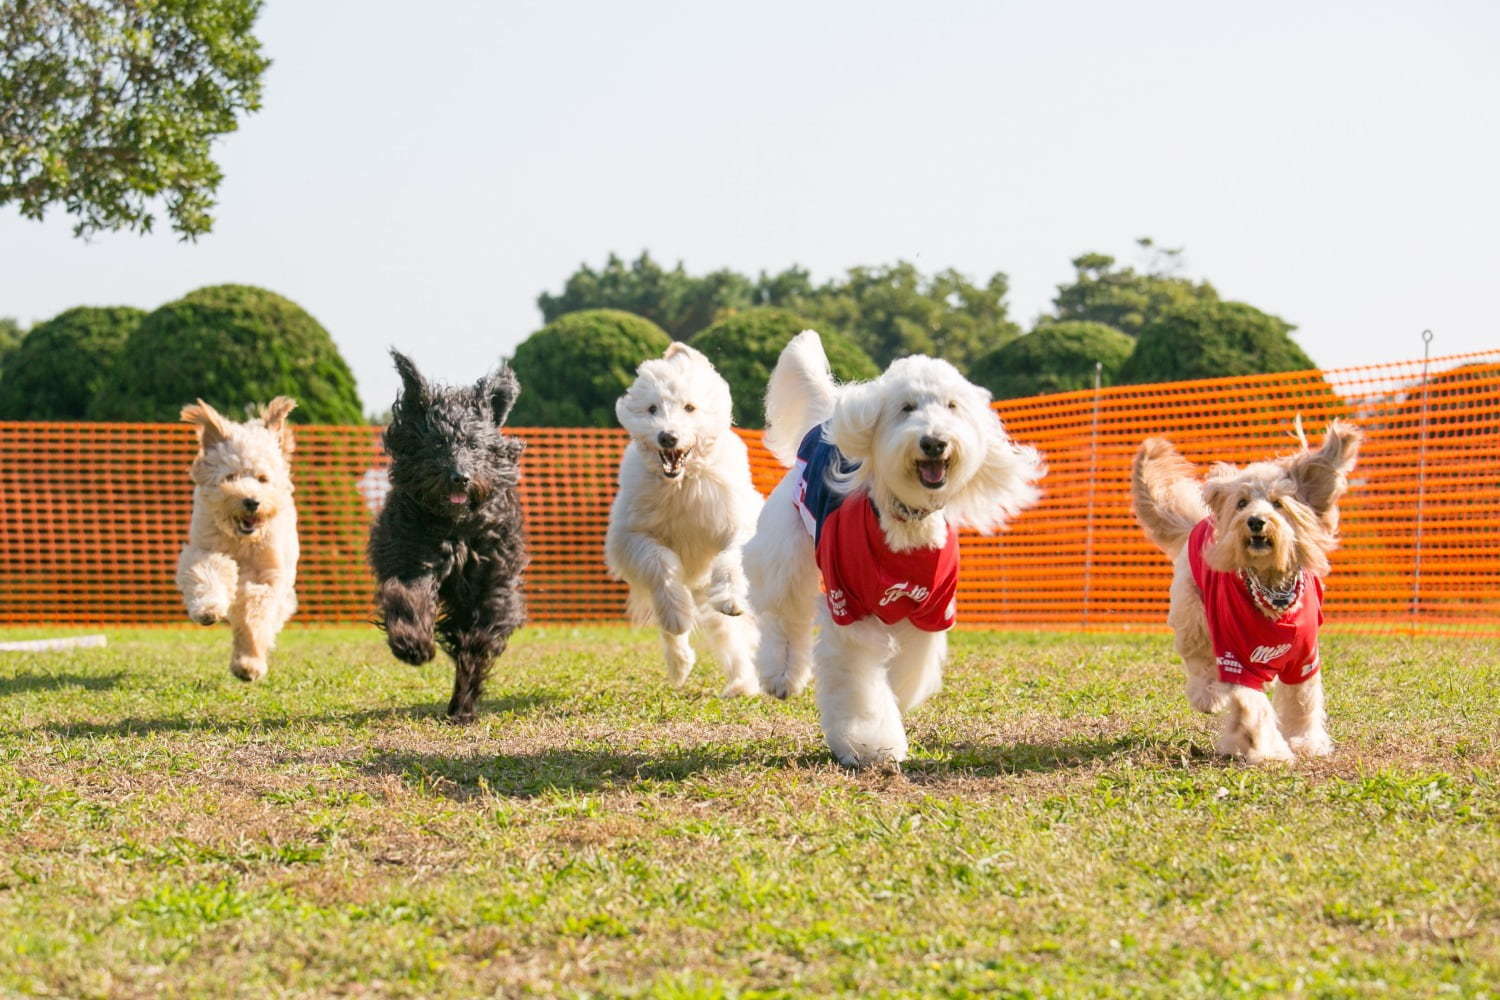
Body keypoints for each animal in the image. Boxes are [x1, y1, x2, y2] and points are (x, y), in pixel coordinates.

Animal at [177, 395, 300, 680]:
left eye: (263, 479)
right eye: (230, 476)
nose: (251, 501)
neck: (243, 542)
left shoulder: (269, 576)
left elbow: (254, 612)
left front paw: (248, 664)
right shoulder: (204, 549)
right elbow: (210, 570)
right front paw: (209, 609)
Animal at [367, 353, 528, 728]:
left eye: (474, 444)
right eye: (438, 442)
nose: (460, 477)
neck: (456, 528)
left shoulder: (491, 578)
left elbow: (480, 635)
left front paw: (465, 697)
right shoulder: (412, 556)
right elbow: (407, 598)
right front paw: (412, 644)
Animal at [747, 332, 1044, 773]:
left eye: (952, 407)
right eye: (906, 408)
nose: (934, 441)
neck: (906, 523)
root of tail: (823, 425)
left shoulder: (930, 613)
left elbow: (904, 673)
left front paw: (893, 706)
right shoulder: (849, 608)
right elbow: (860, 684)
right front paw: (869, 744)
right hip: (785, 550)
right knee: (784, 616)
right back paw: (781, 676)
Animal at [1134, 422, 1362, 767]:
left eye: (1278, 503)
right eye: (1241, 503)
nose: (1255, 521)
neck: (1270, 587)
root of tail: (1199, 523)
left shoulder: (1305, 659)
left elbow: (1303, 701)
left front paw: (1306, 742)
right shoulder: (1238, 658)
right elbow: (1253, 706)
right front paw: (1269, 750)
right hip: (1192, 614)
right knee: (1198, 661)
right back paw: (1207, 696)